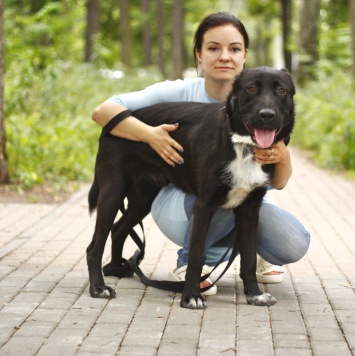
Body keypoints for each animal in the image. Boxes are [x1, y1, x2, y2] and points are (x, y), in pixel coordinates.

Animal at [87, 66, 298, 308]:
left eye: (282, 91)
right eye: (251, 88)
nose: (267, 115)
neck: (241, 145)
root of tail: (111, 126)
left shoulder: (250, 209)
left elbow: (248, 259)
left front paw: (254, 294)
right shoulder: (204, 204)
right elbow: (196, 255)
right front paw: (191, 296)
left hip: (143, 199)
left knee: (118, 229)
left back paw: (115, 269)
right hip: (112, 193)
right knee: (94, 247)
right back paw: (99, 287)